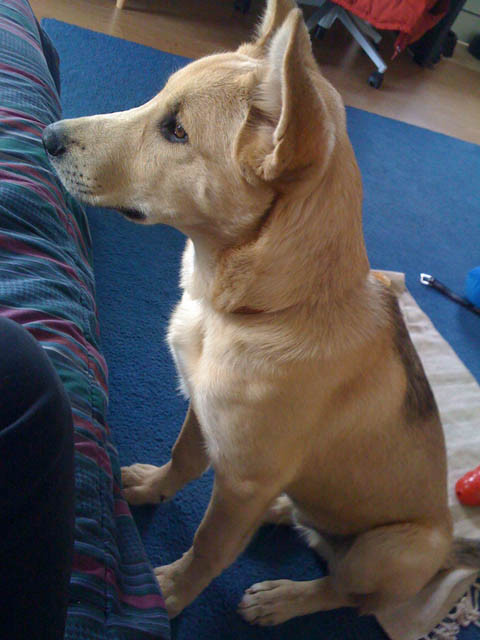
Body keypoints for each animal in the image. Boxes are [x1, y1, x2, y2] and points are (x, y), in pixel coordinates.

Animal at [43, 0, 480, 625]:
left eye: (177, 132)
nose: (47, 136)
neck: (258, 308)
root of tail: (449, 550)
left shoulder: (242, 482)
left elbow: (210, 544)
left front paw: (172, 591)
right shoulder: (204, 414)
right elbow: (183, 459)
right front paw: (151, 488)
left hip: (391, 550)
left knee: (346, 592)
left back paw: (284, 597)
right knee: (305, 524)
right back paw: (283, 513)